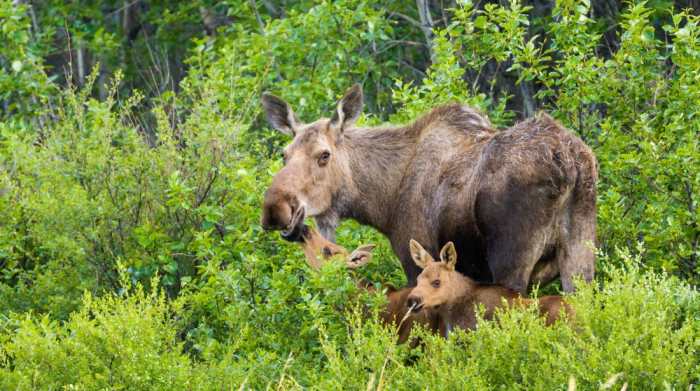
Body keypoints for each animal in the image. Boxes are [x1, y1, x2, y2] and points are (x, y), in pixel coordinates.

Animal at [260, 86, 600, 294]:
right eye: (285, 154)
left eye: (324, 155)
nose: (275, 209)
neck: (382, 201)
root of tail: (570, 164)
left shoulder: (415, 261)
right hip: (580, 255)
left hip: (512, 261)